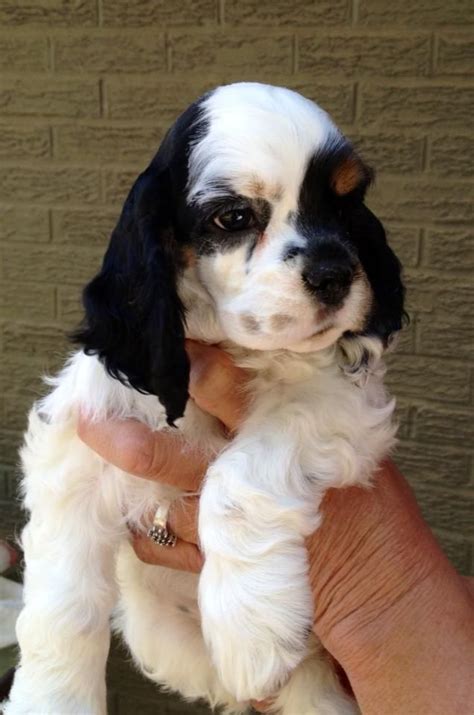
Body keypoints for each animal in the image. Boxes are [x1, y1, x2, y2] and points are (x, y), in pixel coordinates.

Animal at [3, 84, 404, 715]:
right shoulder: (79, 450)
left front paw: (250, 626)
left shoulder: (340, 403)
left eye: (346, 203)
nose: (335, 273)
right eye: (234, 216)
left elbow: (238, 477)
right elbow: (61, 605)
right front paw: (51, 699)